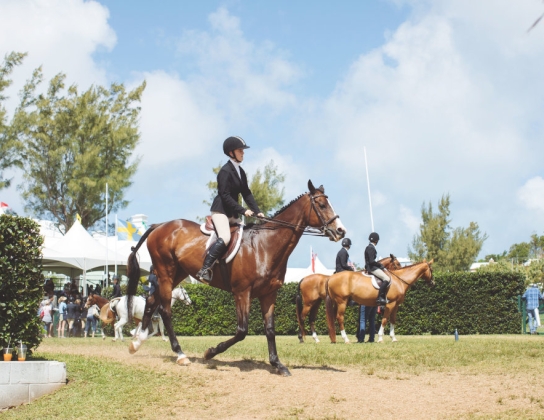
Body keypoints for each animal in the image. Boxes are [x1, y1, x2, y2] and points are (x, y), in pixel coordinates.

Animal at [125, 179, 344, 376]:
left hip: (177, 273)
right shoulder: (242, 293)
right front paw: (210, 352)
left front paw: (277, 364)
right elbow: (241, 330)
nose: (341, 231)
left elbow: (270, 329)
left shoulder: (269, 294)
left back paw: (136, 343)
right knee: (165, 310)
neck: (266, 246)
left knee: (151, 302)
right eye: (322, 205)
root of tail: (160, 225)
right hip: (165, 273)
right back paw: (180, 354)